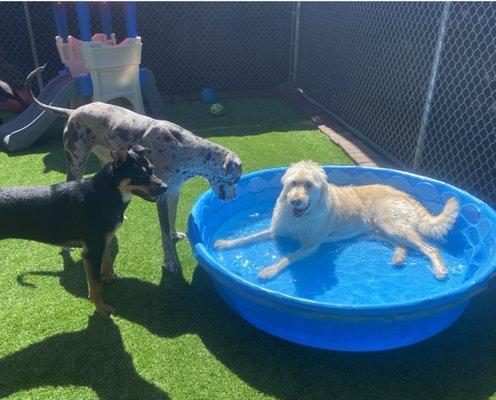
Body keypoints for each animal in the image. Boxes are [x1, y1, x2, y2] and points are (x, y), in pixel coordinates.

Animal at [0, 145, 167, 314]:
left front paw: (109, 277)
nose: (165, 187)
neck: (106, 193)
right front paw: (101, 308)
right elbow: (95, 285)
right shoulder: (91, 252)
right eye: (139, 174)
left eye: (152, 169)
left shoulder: (105, 241)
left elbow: (107, 261)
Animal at [215, 161, 460, 280]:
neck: (302, 217)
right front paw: (225, 243)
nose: (294, 201)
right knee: (404, 245)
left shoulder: (310, 246)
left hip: (392, 225)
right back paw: (399, 257)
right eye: (293, 183)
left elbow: (288, 258)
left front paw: (269, 271)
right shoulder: (277, 230)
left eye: (309, 185)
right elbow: (248, 237)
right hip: (381, 230)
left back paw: (439, 270)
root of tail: (404, 194)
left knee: (429, 249)